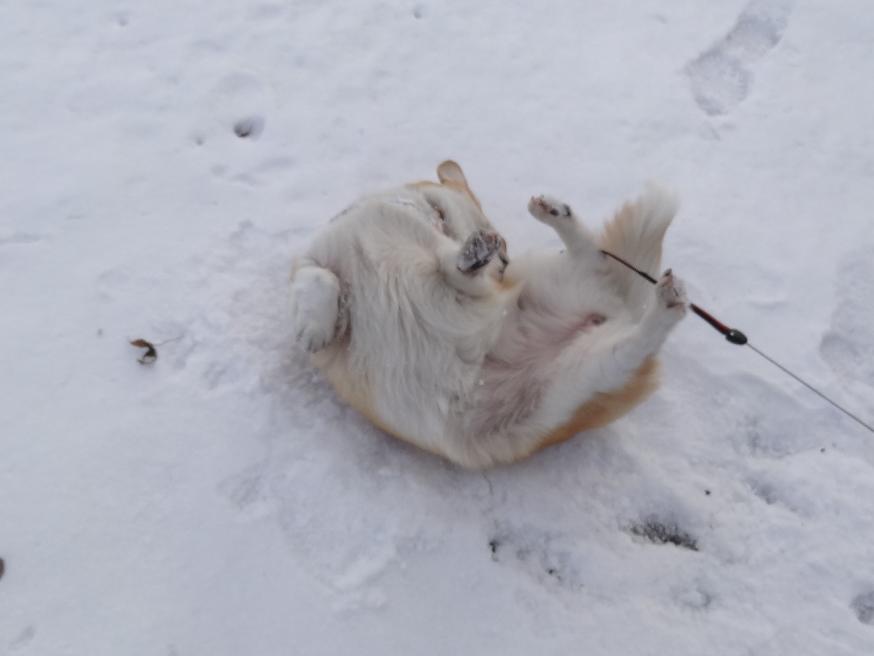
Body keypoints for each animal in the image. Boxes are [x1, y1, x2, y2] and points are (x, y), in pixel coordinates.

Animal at [290, 161, 684, 468]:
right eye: (504, 240)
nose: (504, 261)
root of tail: (618, 312)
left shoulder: (470, 286)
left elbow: (451, 267)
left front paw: (471, 256)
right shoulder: (312, 260)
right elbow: (320, 277)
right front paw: (314, 328)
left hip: (588, 369)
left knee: (602, 272)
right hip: (579, 375)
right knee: (607, 285)